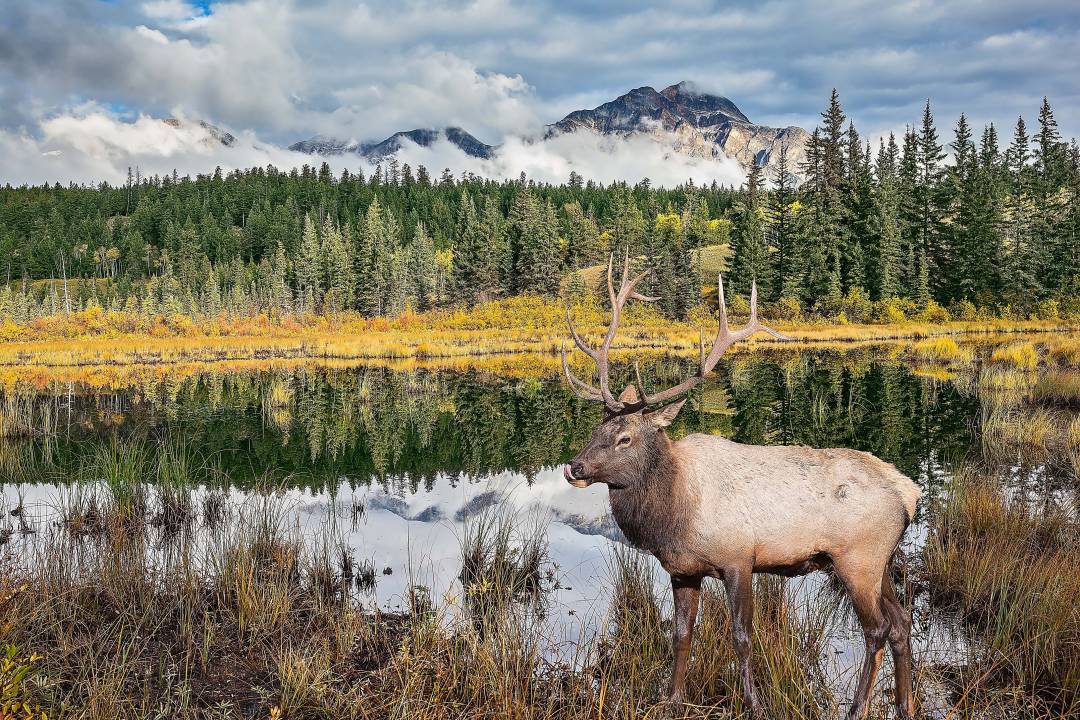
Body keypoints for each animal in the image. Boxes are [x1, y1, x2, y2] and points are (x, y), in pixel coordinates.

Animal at [561, 254, 920, 720]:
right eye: (595, 429)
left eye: (625, 438)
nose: (574, 467)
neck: (674, 514)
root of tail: (909, 493)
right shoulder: (682, 570)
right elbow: (681, 635)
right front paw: (671, 698)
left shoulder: (738, 558)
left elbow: (742, 637)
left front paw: (753, 703)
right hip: (882, 561)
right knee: (901, 623)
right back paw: (906, 705)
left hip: (858, 557)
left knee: (877, 629)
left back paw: (857, 709)